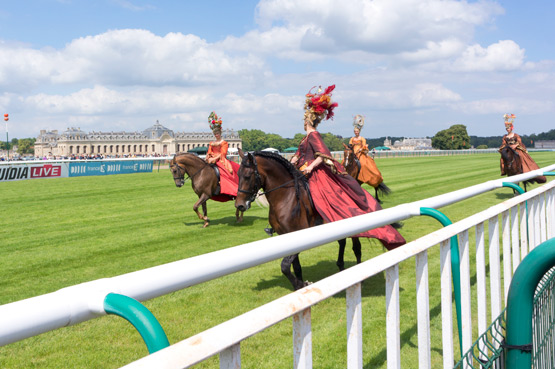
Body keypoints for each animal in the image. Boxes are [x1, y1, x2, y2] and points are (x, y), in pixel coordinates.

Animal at [235, 151, 364, 288]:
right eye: (238, 175)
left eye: (247, 176)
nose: (239, 205)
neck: (285, 197)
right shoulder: (287, 236)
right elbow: (296, 267)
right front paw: (300, 285)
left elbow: (285, 266)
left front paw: (302, 284)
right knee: (342, 242)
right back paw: (341, 266)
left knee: (356, 247)